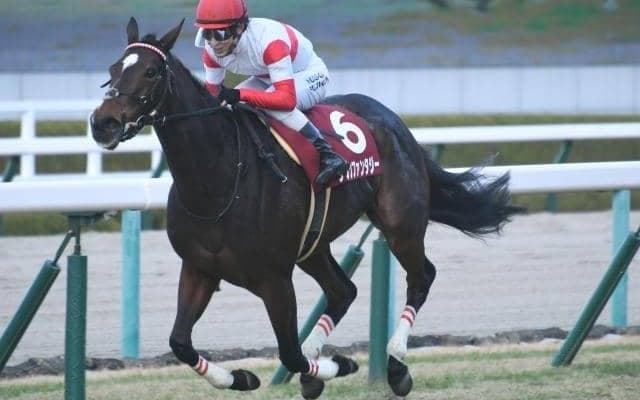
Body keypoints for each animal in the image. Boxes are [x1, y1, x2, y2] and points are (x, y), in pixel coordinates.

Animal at [90, 17, 522, 398]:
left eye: (150, 72)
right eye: (113, 69)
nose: (102, 123)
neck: (218, 179)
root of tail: (397, 124)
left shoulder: (275, 279)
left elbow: (289, 353)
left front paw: (339, 365)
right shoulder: (199, 268)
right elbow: (180, 342)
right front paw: (244, 377)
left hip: (401, 224)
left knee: (421, 277)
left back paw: (396, 365)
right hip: (312, 244)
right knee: (343, 291)